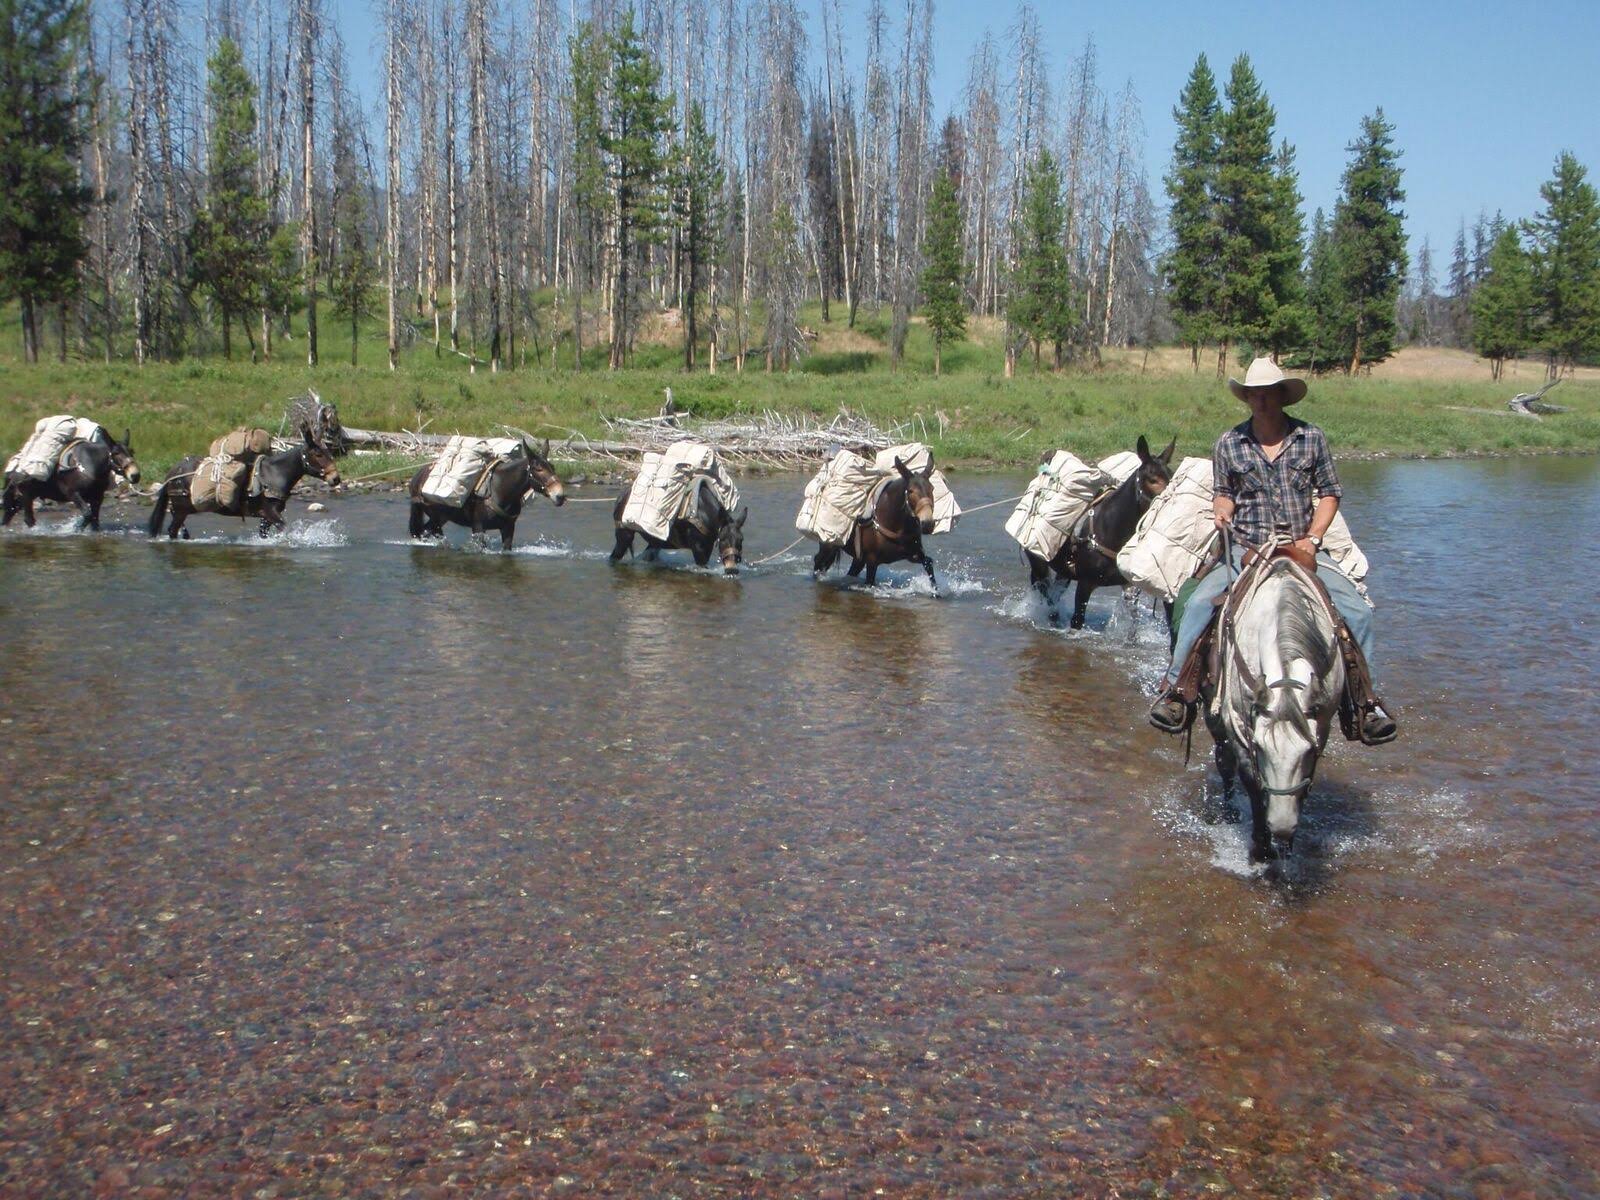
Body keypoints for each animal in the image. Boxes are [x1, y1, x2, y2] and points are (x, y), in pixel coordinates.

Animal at [1203, 556, 1344, 864]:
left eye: (1307, 751)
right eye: (1260, 747)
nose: (1281, 827)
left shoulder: (1323, 724)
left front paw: (1287, 845)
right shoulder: (1239, 727)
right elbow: (1253, 782)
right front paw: (1262, 849)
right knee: (1224, 761)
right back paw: (1228, 812)